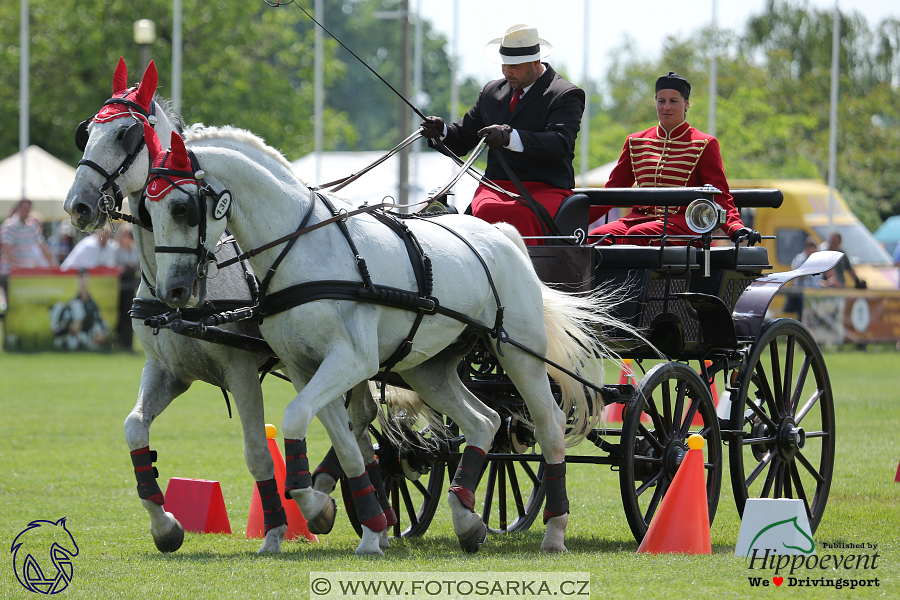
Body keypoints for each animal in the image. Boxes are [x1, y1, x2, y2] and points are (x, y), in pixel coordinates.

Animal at [63, 58, 384, 556]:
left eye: (125, 135)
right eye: (87, 132)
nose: (76, 206)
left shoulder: (241, 371)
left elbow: (257, 453)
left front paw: (280, 525)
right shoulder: (167, 371)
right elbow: (135, 429)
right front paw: (166, 525)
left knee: (359, 420)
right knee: (360, 425)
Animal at [146, 124, 624, 556]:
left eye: (181, 207)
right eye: (147, 211)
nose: (174, 291)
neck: (302, 251)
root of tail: (506, 235)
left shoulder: (351, 361)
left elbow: (297, 418)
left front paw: (315, 503)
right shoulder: (305, 369)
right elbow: (347, 445)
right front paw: (360, 524)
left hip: (518, 352)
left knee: (549, 427)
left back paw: (554, 531)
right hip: (430, 368)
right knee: (485, 421)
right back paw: (467, 518)